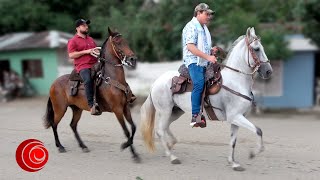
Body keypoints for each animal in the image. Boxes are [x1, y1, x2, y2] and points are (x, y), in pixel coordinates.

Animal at [43, 27, 140, 162]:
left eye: (126, 41)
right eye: (117, 42)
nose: (132, 59)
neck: (113, 79)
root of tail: (53, 84)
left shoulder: (125, 107)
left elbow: (133, 127)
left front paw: (132, 150)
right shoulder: (117, 110)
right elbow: (126, 131)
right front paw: (128, 149)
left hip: (76, 109)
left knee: (73, 125)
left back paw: (83, 146)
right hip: (60, 109)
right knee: (54, 124)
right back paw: (60, 146)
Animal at [140, 27, 272, 171]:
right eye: (256, 49)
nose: (268, 71)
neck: (236, 81)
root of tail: (155, 82)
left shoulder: (237, 119)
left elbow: (233, 141)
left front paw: (234, 163)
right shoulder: (235, 116)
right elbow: (258, 130)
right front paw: (253, 153)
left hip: (176, 111)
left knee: (165, 128)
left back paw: (171, 145)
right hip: (165, 111)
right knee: (160, 130)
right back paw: (173, 157)